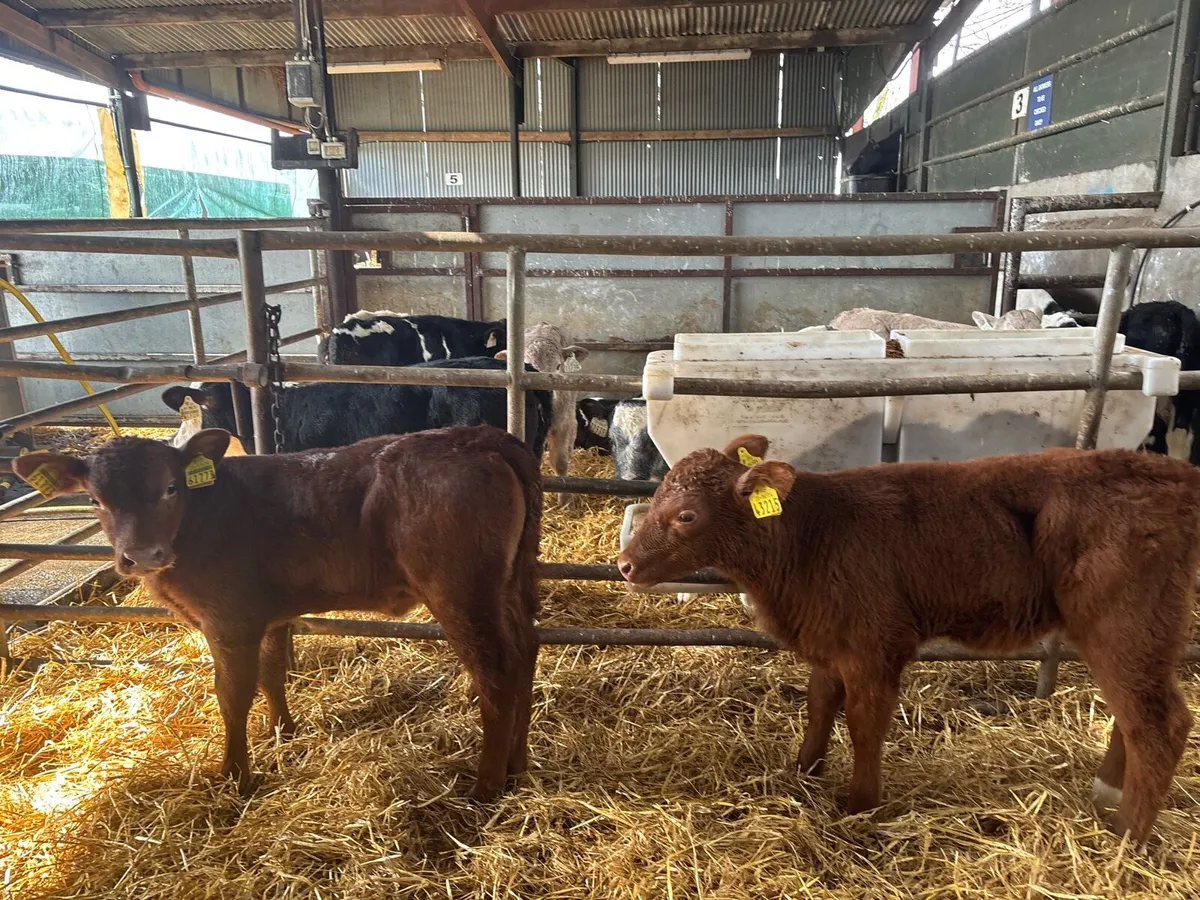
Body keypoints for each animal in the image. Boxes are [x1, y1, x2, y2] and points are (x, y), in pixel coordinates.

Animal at [12, 426, 541, 801]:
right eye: (94, 499)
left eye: (170, 488)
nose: (141, 556)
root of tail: (477, 436)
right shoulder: (265, 616)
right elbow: (272, 673)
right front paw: (282, 733)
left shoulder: (229, 622)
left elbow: (232, 695)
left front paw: (234, 776)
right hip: (509, 585)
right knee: (526, 653)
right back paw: (516, 766)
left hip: (460, 592)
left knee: (496, 672)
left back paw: (485, 787)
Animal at [617, 434, 1200, 843]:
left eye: (686, 515)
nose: (624, 564)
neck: (808, 537)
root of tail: (1172, 473)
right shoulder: (829, 636)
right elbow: (819, 704)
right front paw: (804, 771)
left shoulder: (874, 645)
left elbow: (864, 724)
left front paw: (859, 804)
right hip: (1143, 632)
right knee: (1134, 715)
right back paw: (1107, 797)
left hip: (1123, 621)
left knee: (1159, 724)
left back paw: (1125, 838)